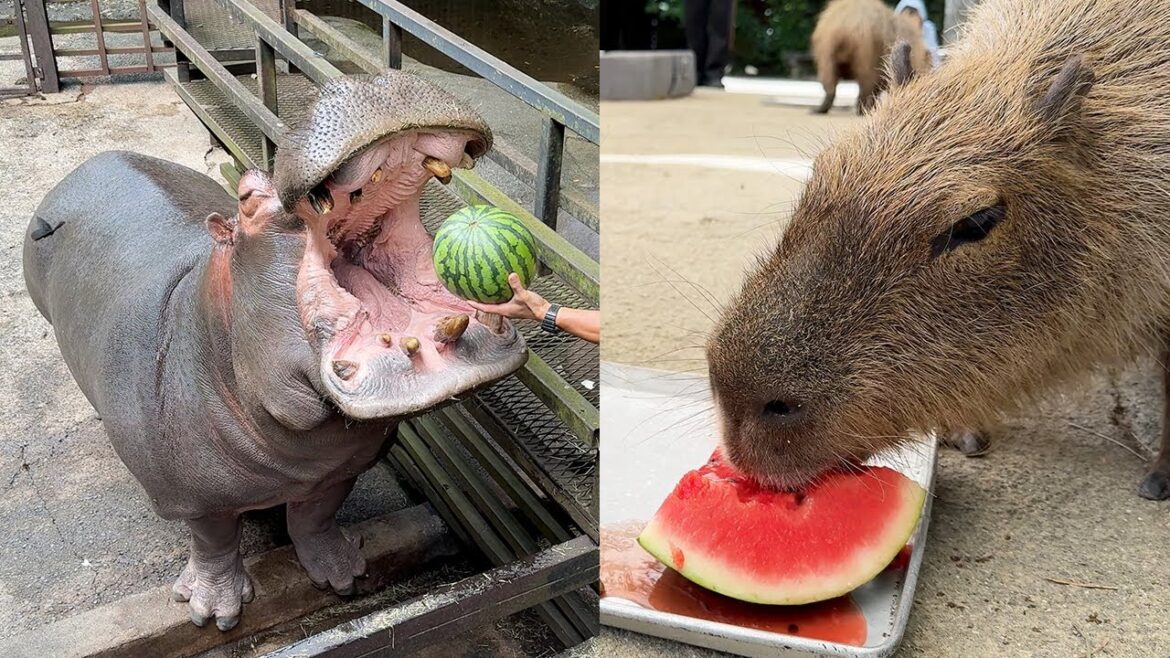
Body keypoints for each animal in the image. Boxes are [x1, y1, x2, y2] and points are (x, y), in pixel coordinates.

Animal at [22, 71, 528, 630]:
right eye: (245, 196)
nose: (372, 81)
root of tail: (89, 162)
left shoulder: (341, 465)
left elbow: (316, 514)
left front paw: (343, 574)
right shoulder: (192, 497)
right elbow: (214, 540)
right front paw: (213, 613)